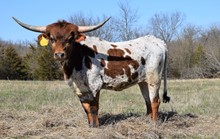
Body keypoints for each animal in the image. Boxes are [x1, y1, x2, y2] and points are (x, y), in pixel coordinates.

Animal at [12, 16, 170, 127]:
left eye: (70, 38)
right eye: (52, 38)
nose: (59, 54)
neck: (77, 60)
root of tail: (157, 41)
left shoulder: (94, 85)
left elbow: (94, 108)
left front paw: (96, 127)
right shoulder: (79, 88)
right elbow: (86, 108)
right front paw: (90, 126)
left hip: (154, 78)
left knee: (155, 101)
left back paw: (154, 124)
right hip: (142, 81)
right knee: (148, 101)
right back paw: (148, 121)